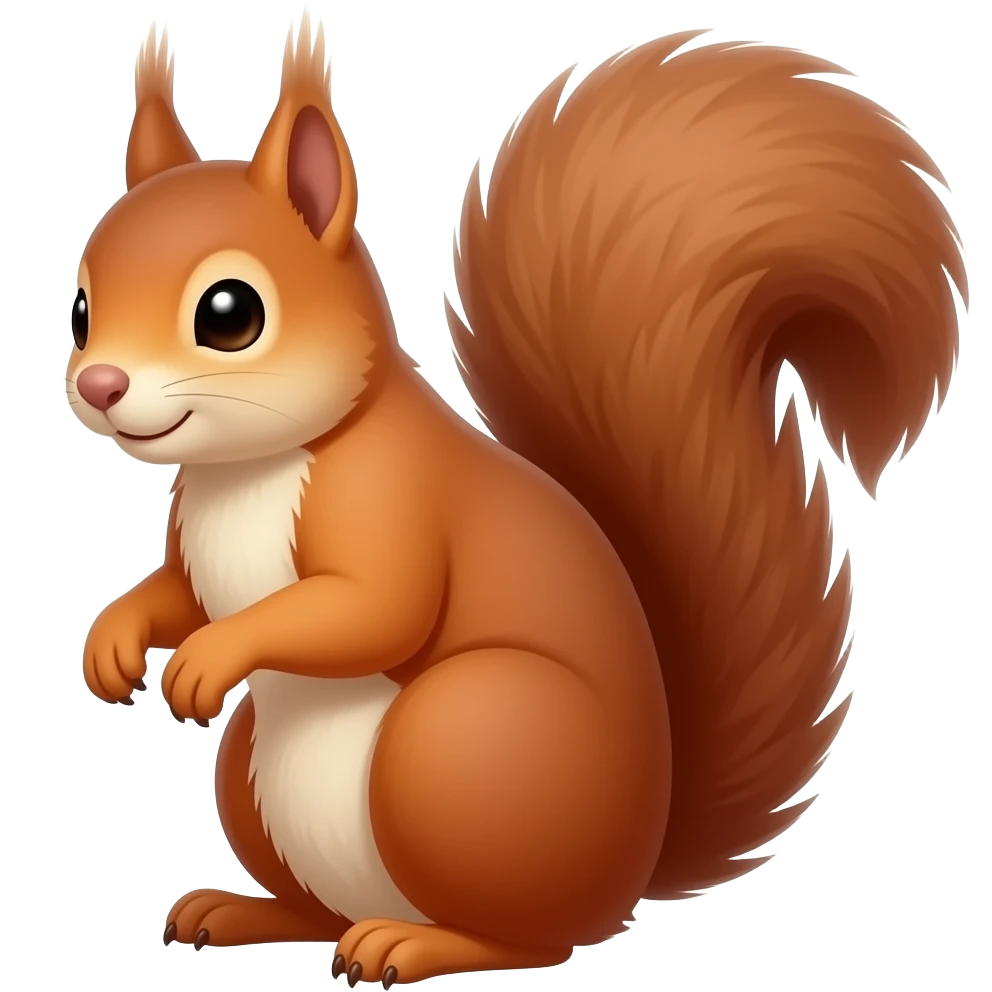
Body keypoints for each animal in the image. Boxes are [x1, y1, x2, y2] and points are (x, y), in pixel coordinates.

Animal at [70, 9, 965, 989]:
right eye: (80, 310)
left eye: (229, 314)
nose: (100, 385)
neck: (248, 470)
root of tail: (629, 873)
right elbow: (177, 594)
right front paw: (112, 641)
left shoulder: (391, 498)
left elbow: (372, 608)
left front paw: (210, 656)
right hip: (258, 777)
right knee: (322, 910)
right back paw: (242, 911)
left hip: (460, 743)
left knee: (529, 939)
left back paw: (411, 944)